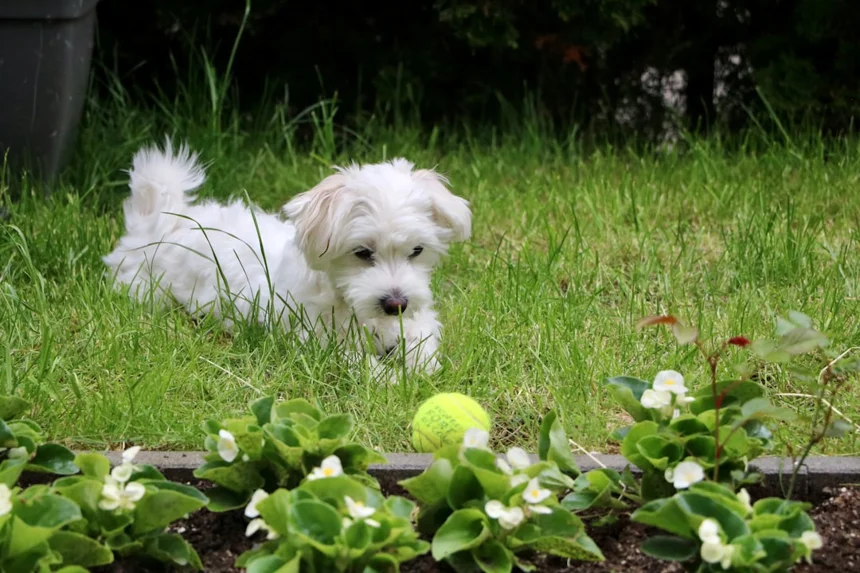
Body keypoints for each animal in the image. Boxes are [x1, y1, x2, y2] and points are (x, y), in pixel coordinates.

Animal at [106, 141, 478, 376]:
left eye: (417, 251)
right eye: (362, 253)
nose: (395, 304)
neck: (348, 304)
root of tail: (162, 220)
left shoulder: (415, 319)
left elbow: (421, 338)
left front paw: (421, 367)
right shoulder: (319, 342)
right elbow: (357, 362)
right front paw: (389, 379)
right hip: (145, 287)